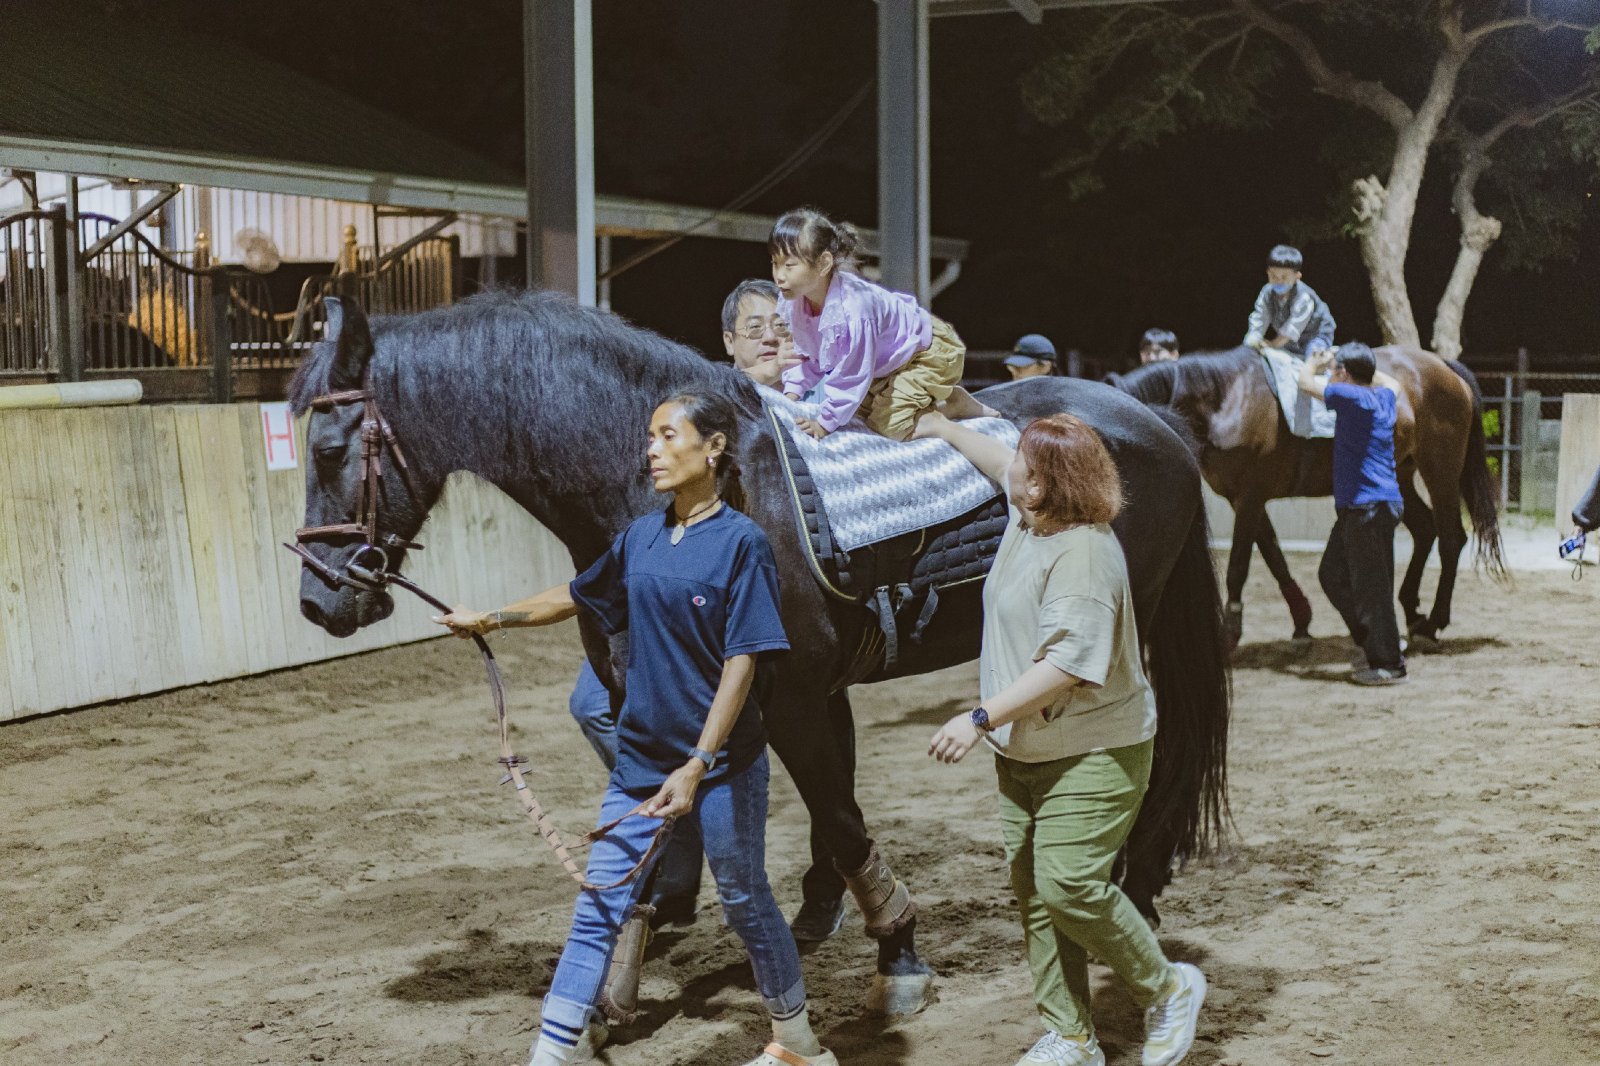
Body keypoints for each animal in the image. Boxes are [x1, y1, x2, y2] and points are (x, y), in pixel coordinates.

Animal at [289, 290, 1229, 1016]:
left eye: (331, 450)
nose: (318, 598)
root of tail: (1150, 419)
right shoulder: (646, 698)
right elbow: (659, 826)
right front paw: (619, 977)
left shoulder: (794, 701)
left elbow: (842, 825)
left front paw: (899, 954)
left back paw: (1132, 883)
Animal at [1110, 345, 1504, 650]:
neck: (1227, 398)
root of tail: (1444, 367)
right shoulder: (1246, 499)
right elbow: (1274, 557)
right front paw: (1301, 623)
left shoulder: (1250, 497)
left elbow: (1239, 566)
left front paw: (1230, 634)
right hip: (1401, 474)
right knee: (1425, 531)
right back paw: (1413, 613)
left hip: (1440, 470)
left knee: (1451, 539)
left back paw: (1434, 620)